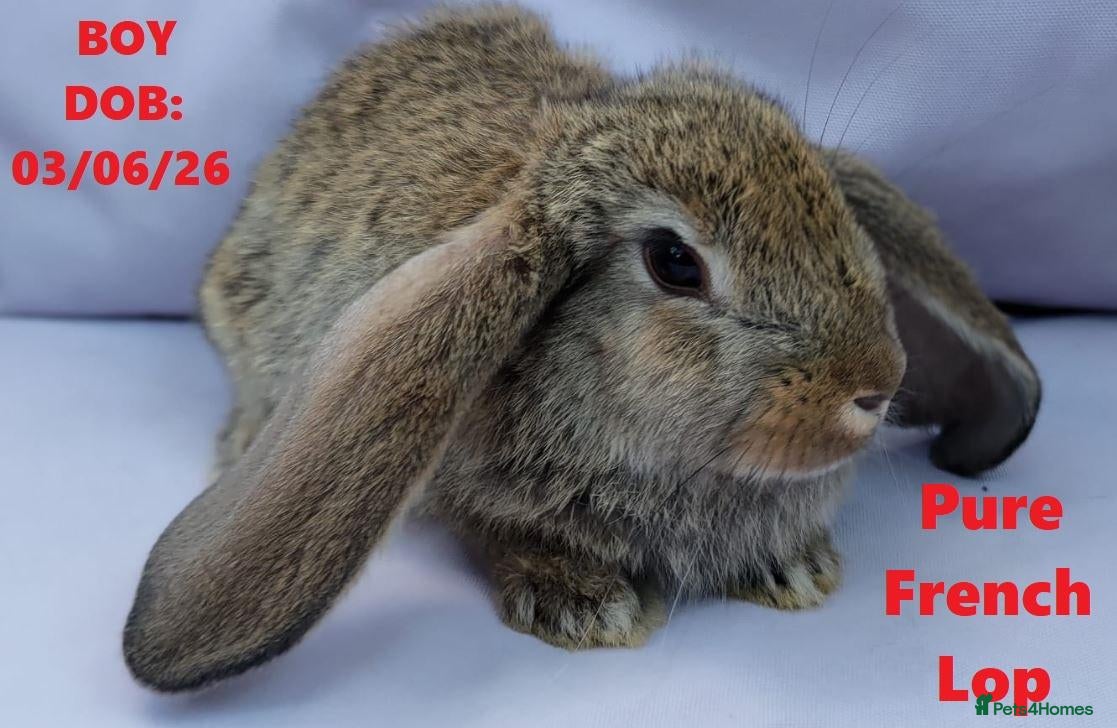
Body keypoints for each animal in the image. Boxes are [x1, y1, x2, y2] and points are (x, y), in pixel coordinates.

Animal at [123, 4, 1041, 692]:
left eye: (832, 209)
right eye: (674, 262)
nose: (874, 384)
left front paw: (793, 570)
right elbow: (495, 530)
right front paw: (583, 605)